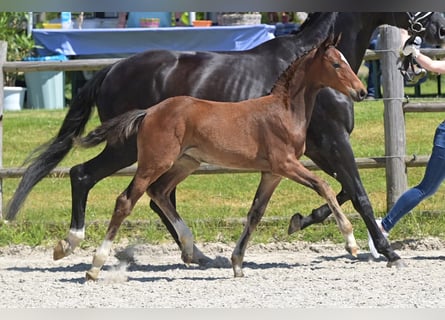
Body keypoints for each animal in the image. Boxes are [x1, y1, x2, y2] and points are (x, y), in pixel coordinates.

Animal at [78, 33, 366, 280]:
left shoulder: (272, 173)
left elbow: (255, 213)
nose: (361, 91)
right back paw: (94, 266)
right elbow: (324, 186)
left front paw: (237, 263)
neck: (284, 111)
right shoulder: (286, 164)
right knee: (126, 200)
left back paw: (189, 248)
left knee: (158, 193)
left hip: (186, 162)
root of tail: (148, 112)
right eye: (336, 64)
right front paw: (351, 243)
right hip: (155, 162)